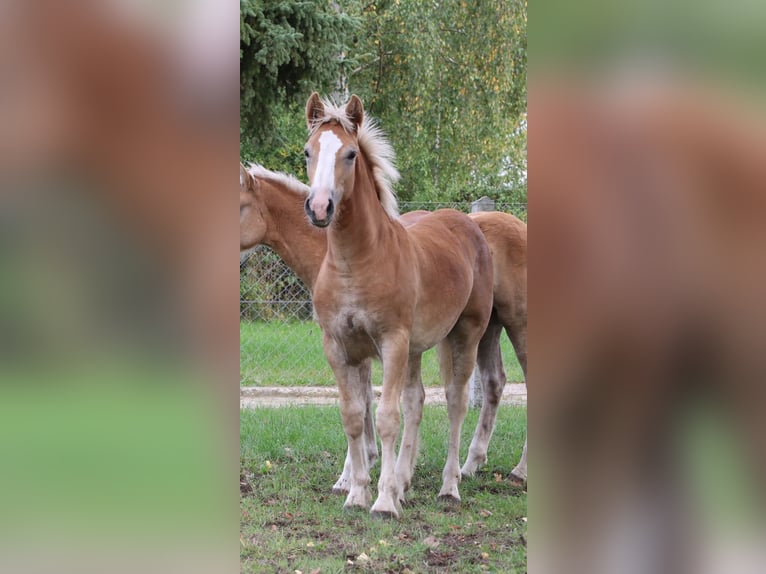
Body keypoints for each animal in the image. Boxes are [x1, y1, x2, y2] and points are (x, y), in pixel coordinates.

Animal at [304, 93, 496, 516]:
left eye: (351, 154)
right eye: (307, 151)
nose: (320, 208)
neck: (356, 263)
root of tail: (469, 224)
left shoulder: (392, 342)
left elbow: (386, 418)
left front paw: (383, 501)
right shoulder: (338, 347)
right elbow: (354, 416)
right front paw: (358, 493)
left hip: (466, 334)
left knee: (456, 402)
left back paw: (449, 486)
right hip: (416, 349)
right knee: (416, 401)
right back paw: (405, 483)